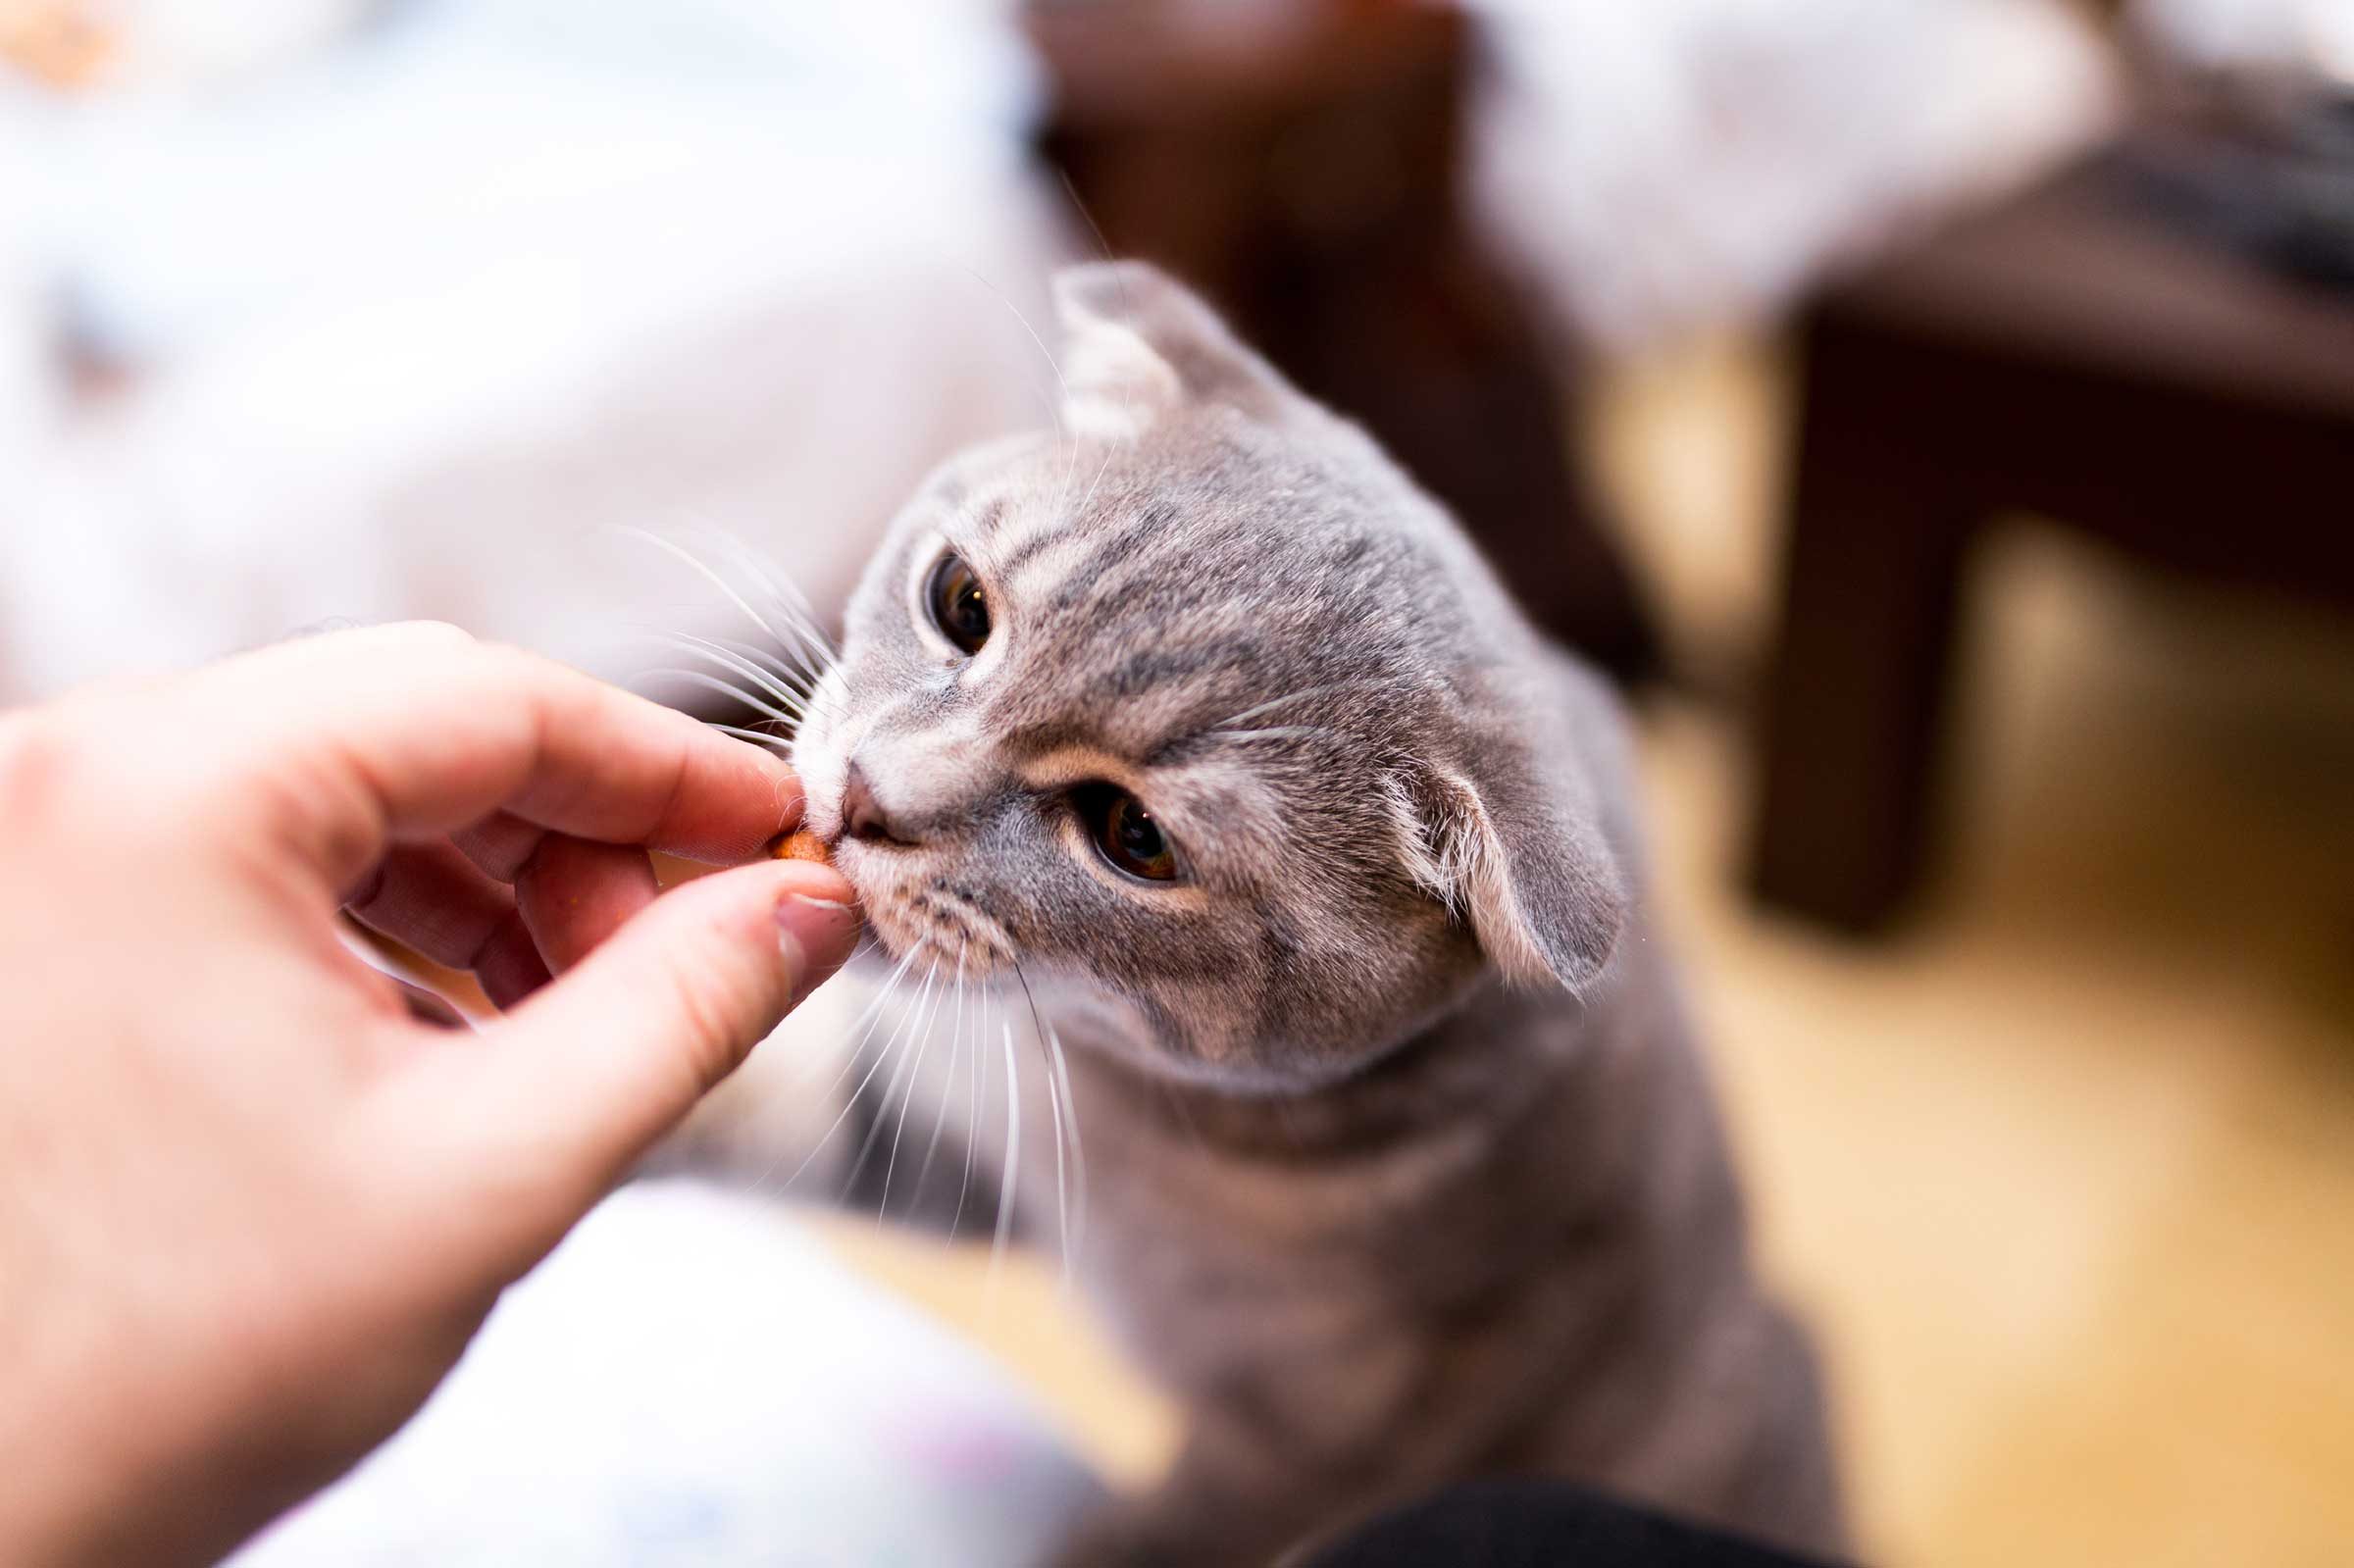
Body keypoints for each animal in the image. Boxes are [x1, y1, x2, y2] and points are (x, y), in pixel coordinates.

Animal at [687, 262, 1845, 1553]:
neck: (1115, 1118)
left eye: (1133, 837)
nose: (862, 799)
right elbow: (758, 1113)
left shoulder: (1321, 1447)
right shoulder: (931, 1135)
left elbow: (1137, 1543)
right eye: (961, 602)